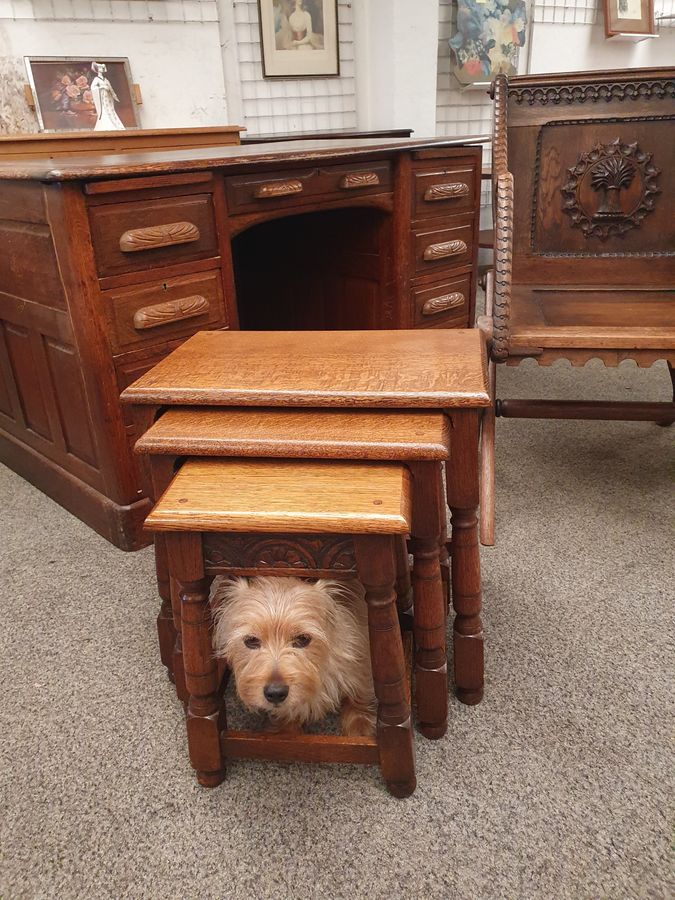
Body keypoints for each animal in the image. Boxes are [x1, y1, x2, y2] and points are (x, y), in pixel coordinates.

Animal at [213, 576, 374, 740]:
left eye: (303, 639)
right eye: (251, 641)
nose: (276, 693)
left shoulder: (358, 658)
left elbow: (359, 692)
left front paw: (360, 728)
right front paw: (286, 730)